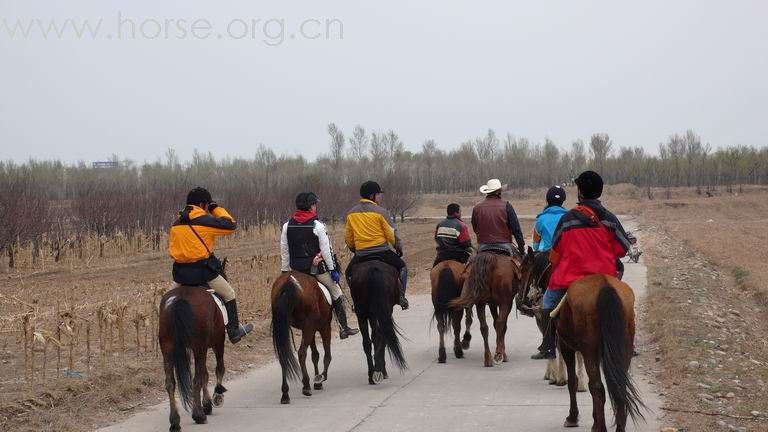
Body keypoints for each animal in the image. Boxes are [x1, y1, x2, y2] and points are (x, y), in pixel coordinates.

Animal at [156, 262, 228, 430]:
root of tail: (181, 298)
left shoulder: (188, 350)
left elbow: (205, 374)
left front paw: (207, 404)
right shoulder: (217, 342)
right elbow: (218, 369)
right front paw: (215, 397)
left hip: (167, 348)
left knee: (170, 383)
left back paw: (175, 421)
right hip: (199, 347)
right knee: (197, 378)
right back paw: (199, 415)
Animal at [270, 272, 332, 404]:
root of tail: (288, 281)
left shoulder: (311, 329)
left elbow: (315, 355)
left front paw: (318, 382)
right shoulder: (323, 327)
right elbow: (327, 356)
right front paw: (321, 377)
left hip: (285, 325)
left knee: (284, 354)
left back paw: (285, 394)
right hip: (309, 326)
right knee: (302, 353)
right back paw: (306, 386)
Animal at [556, 276, 644, 430]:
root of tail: (604, 284)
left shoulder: (566, 346)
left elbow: (573, 382)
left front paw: (573, 417)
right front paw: (594, 419)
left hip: (589, 350)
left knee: (597, 388)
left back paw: (600, 427)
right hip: (624, 349)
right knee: (618, 386)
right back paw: (618, 427)